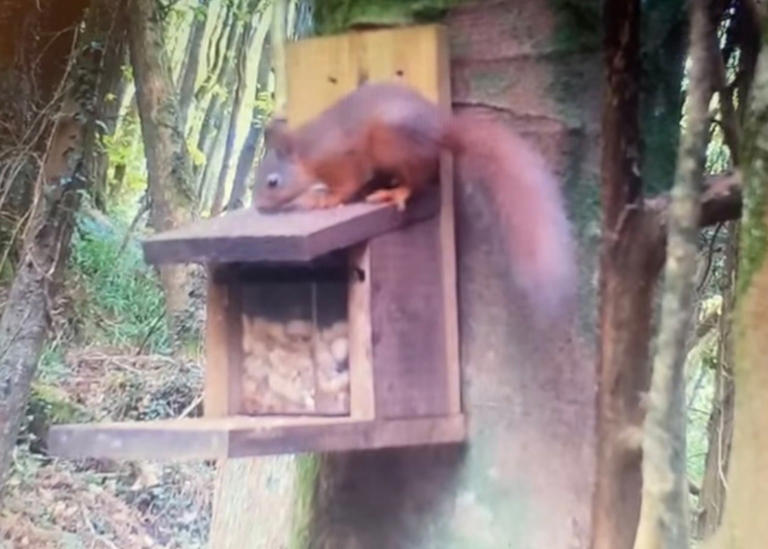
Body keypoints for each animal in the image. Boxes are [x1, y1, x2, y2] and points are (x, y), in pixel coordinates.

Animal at [252, 82, 577, 321]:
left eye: (272, 182)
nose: (258, 206)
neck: (309, 154)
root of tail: (443, 130)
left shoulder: (343, 161)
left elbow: (347, 185)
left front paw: (324, 198)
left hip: (393, 143)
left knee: (418, 180)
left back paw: (394, 192)